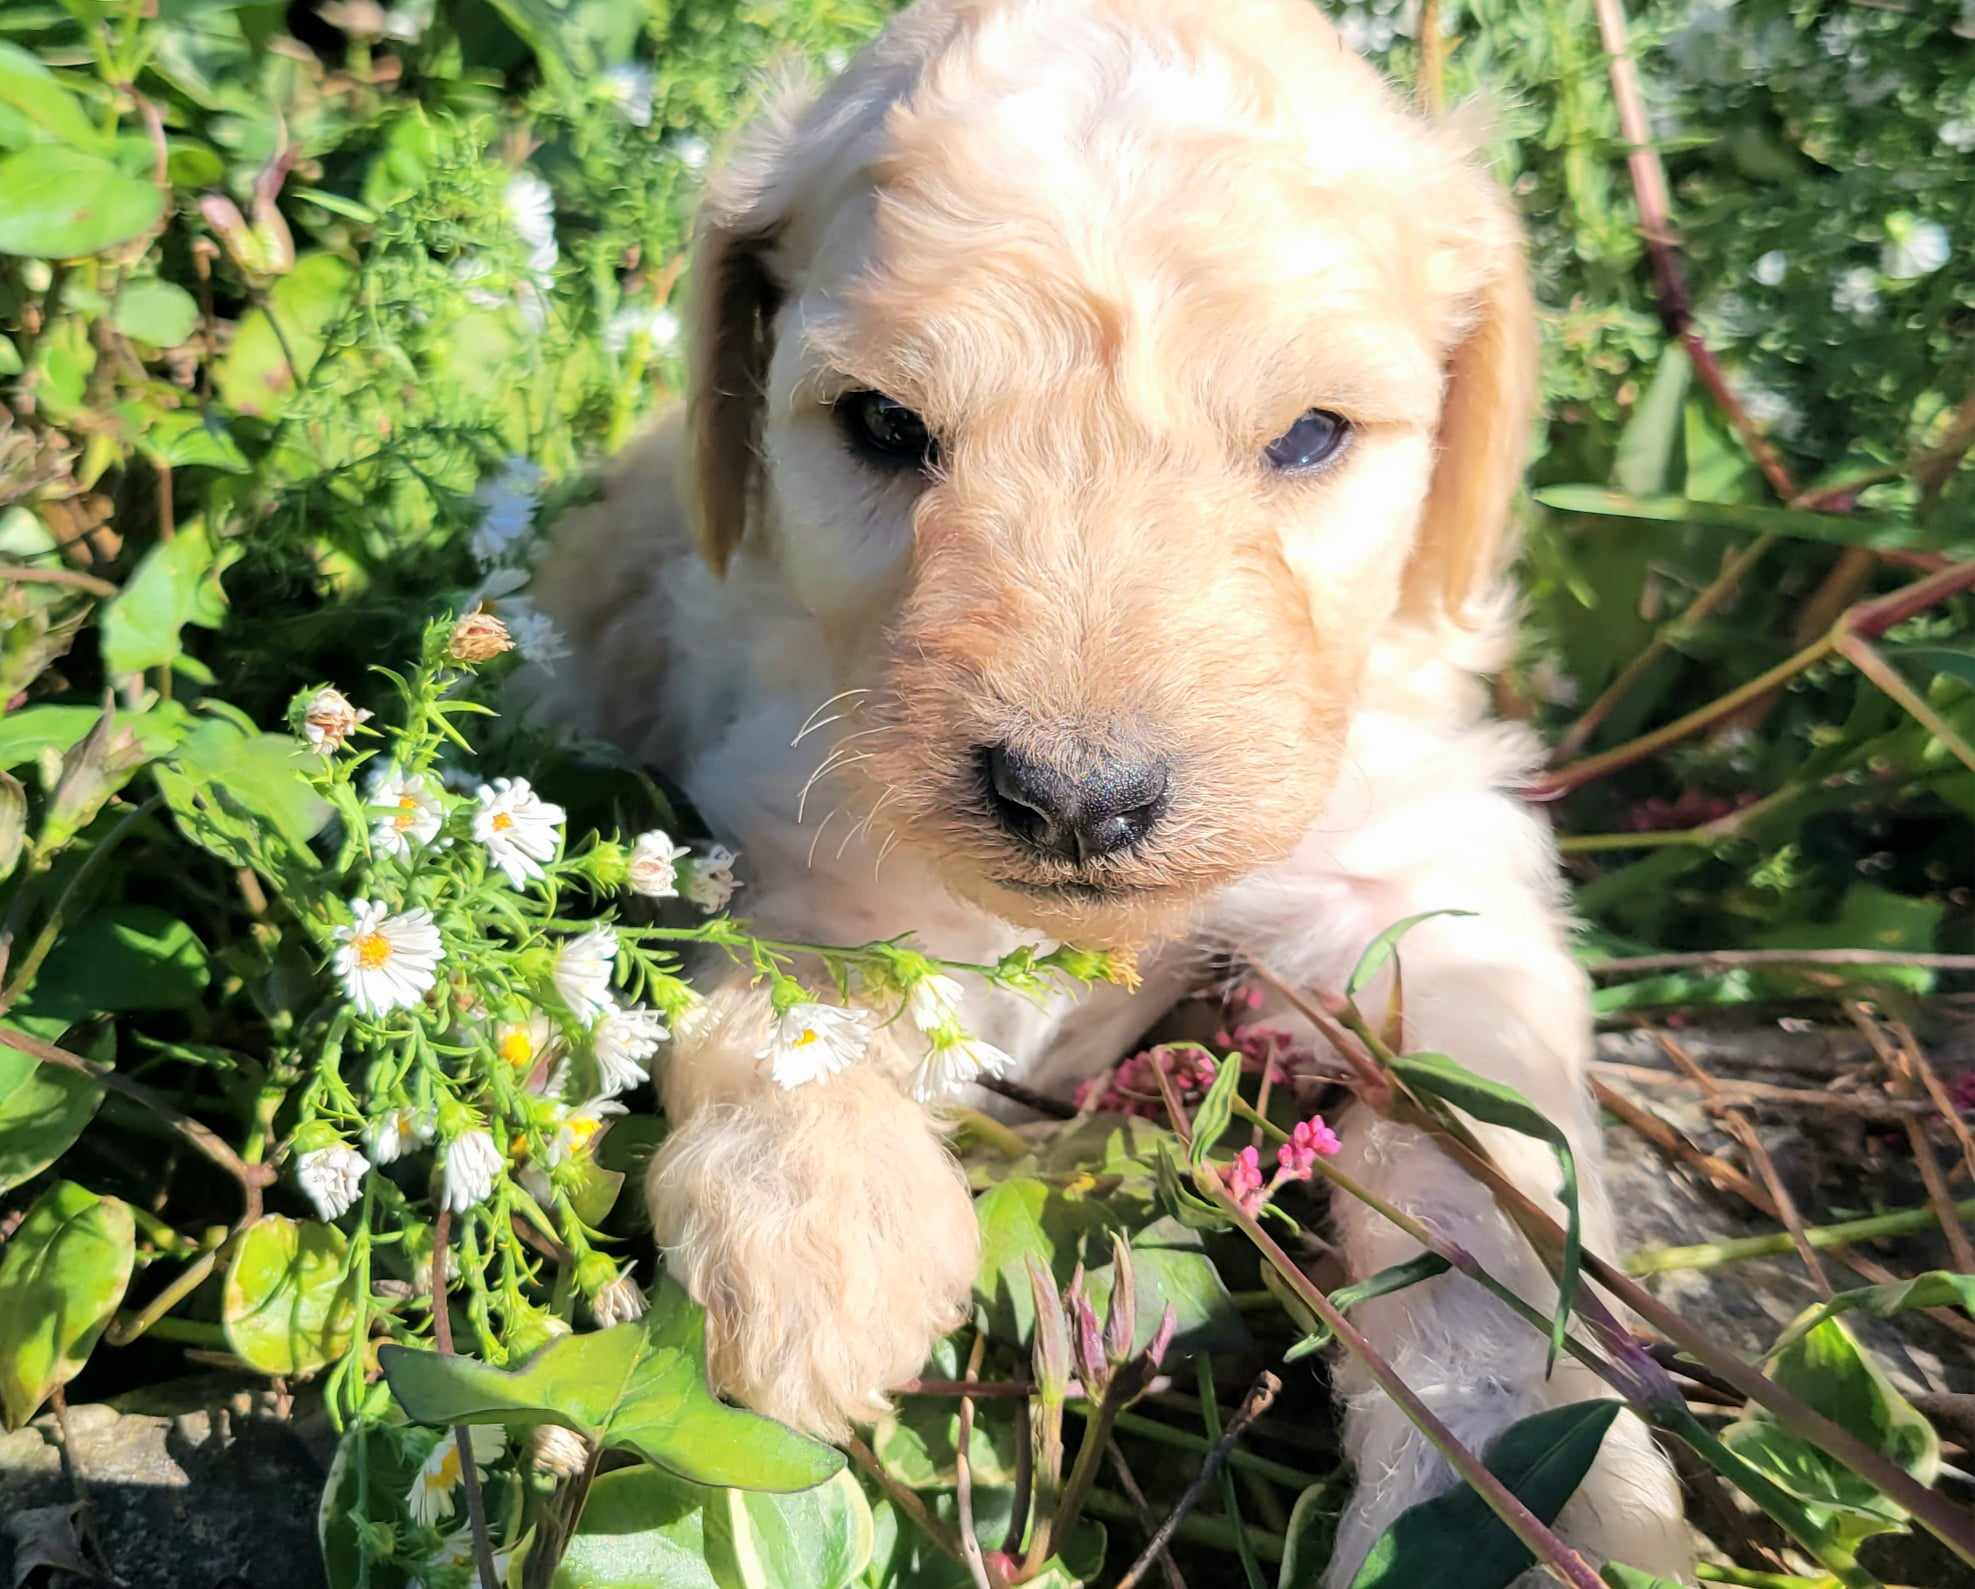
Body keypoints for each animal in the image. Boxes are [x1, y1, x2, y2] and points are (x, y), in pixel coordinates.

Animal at [533, 6, 1690, 1579]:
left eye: (1310, 435)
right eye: (884, 424)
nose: (1077, 805)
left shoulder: (1426, 887)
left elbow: (1494, 1218)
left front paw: (1533, 1501)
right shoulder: (807, 816)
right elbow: (785, 1002)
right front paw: (823, 1253)